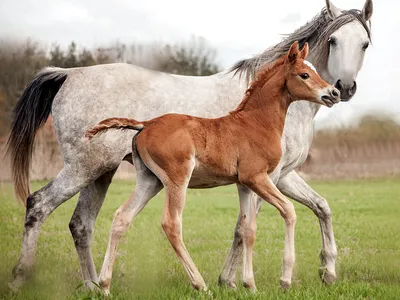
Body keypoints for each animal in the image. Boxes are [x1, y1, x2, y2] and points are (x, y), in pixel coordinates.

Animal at [86, 41, 340, 294]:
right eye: (304, 74)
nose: (334, 93)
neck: (256, 122)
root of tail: (145, 124)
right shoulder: (257, 177)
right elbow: (288, 211)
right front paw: (285, 280)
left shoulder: (244, 184)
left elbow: (248, 229)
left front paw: (249, 284)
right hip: (177, 179)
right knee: (171, 224)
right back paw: (200, 284)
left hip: (149, 181)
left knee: (122, 217)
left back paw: (104, 286)